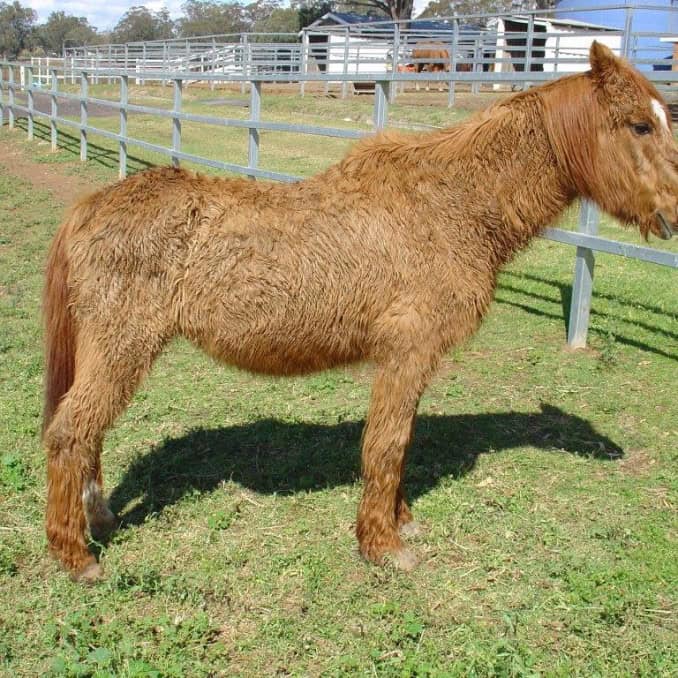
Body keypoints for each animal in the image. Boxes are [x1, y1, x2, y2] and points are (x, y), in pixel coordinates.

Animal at [43, 43, 677, 581]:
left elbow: (401, 441)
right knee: (70, 433)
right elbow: (387, 445)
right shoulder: (407, 353)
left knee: (89, 434)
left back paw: (98, 518)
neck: (451, 204)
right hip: (122, 348)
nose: (674, 211)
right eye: (640, 125)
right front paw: (383, 545)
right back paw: (76, 555)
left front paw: (399, 520)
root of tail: (89, 207)